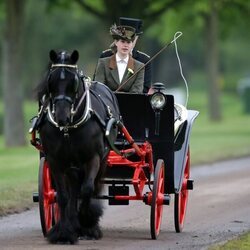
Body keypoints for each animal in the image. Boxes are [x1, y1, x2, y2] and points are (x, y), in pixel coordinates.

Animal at [36, 49, 120, 243]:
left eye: (73, 82)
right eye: (51, 80)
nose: (61, 117)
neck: (69, 127)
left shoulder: (93, 158)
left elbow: (87, 189)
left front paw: (87, 224)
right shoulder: (55, 160)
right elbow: (63, 196)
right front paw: (63, 232)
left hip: (101, 160)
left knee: (90, 186)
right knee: (74, 188)